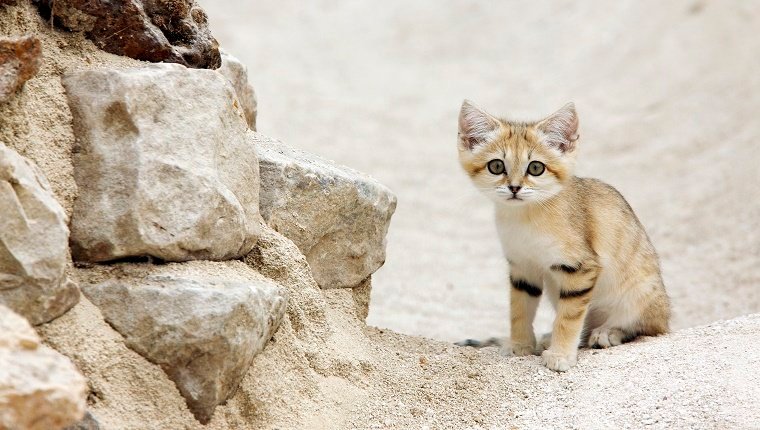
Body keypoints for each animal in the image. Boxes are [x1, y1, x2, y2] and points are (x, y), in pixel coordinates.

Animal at [454, 100, 668, 370]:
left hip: (640, 296)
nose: (514, 188)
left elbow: (568, 319)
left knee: (645, 328)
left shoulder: (580, 269)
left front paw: (561, 355)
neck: (525, 218)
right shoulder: (522, 268)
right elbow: (519, 310)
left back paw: (608, 332)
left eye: (536, 168)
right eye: (496, 166)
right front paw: (520, 345)